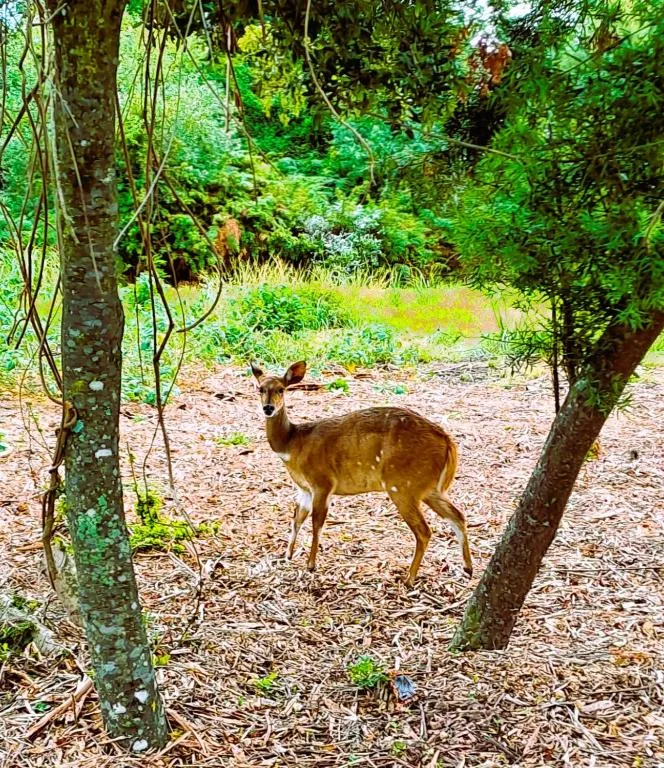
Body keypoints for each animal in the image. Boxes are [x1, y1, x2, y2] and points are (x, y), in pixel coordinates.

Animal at [251, 360, 473, 586]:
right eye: (260, 388)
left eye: (281, 389)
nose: (268, 408)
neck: (293, 444)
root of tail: (447, 440)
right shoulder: (303, 489)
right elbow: (297, 519)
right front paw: (287, 555)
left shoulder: (322, 483)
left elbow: (317, 522)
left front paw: (310, 565)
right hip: (429, 489)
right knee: (457, 515)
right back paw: (468, 569)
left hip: (402, 487)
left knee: (424, 530)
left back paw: (409, 578)